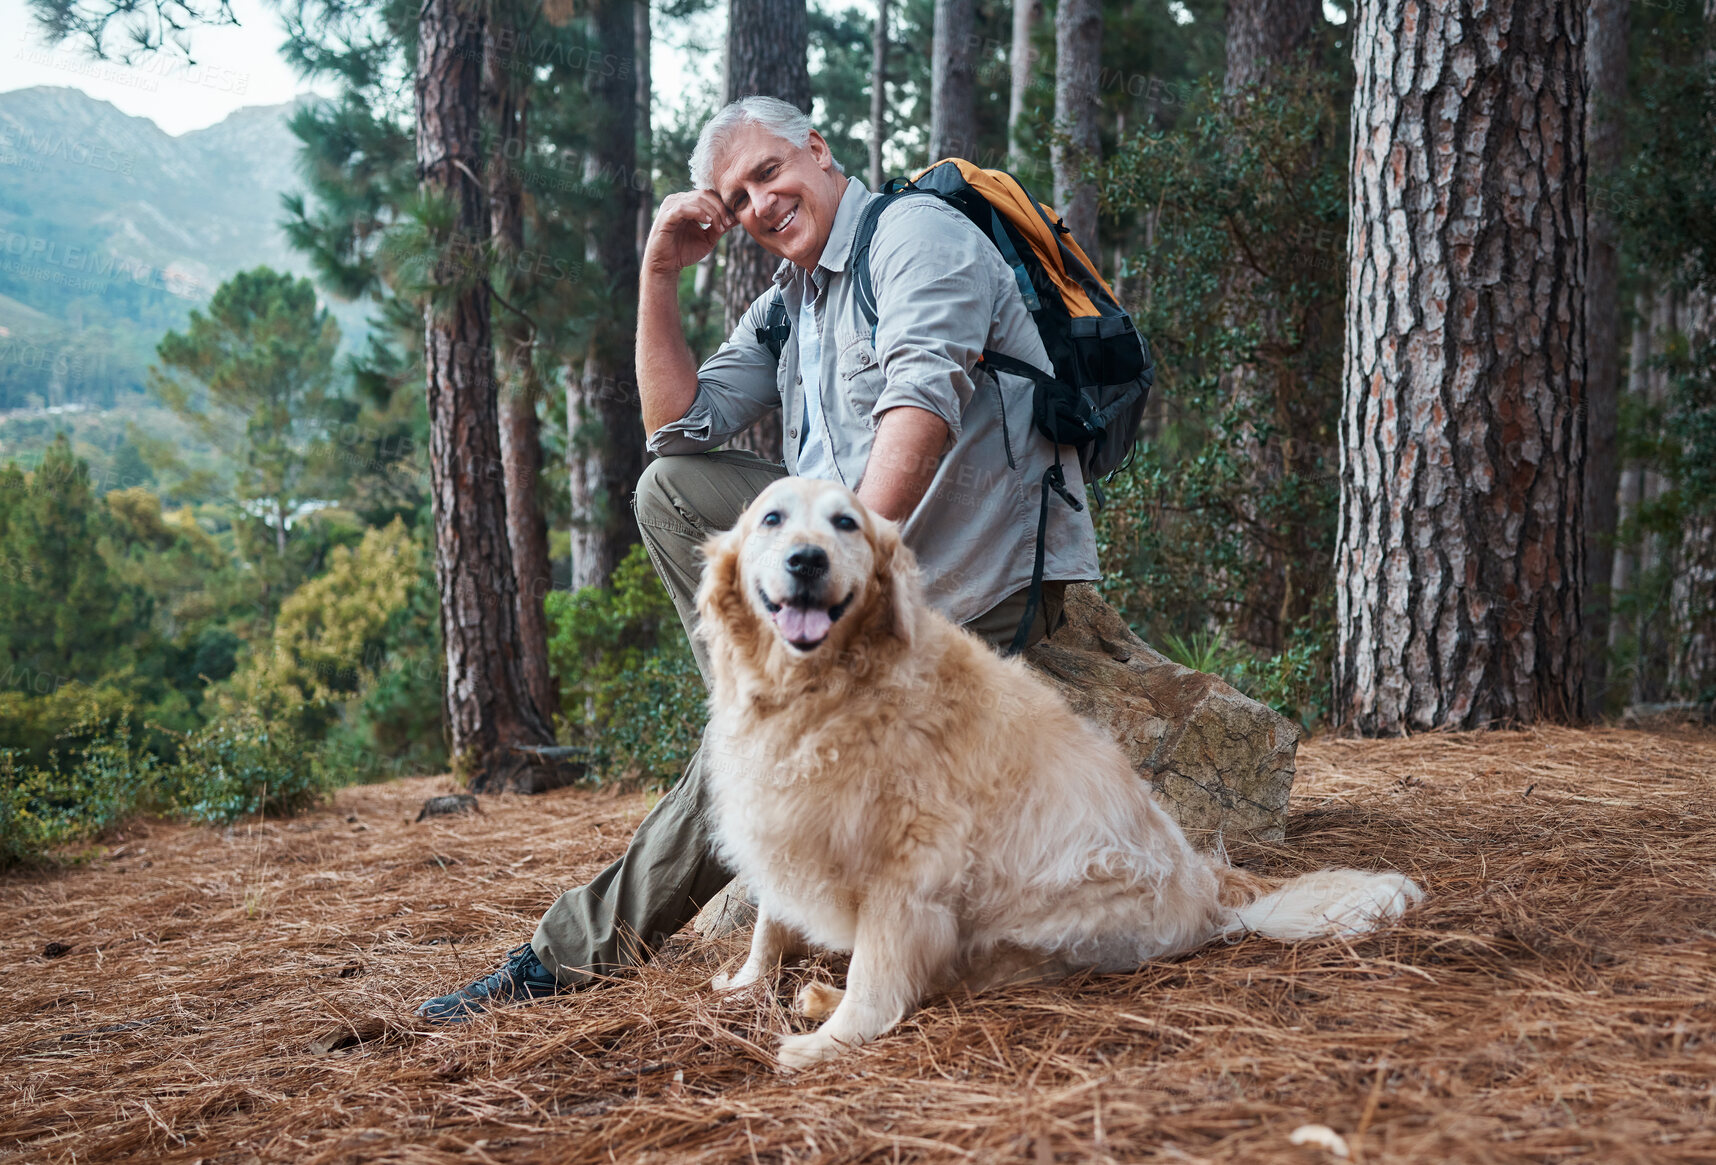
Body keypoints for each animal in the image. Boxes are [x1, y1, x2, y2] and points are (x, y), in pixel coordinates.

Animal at [689, 470, 1413, 1063]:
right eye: (772, 519)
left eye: (846, 522)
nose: (806, 560)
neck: (824, 690)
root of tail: (1209, 892)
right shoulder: (784, 812)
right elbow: (769, 923)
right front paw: (747, 984)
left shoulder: (913, 862)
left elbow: (878, 970)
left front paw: (830, 1043)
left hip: (1045, 896)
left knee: (957, 975)